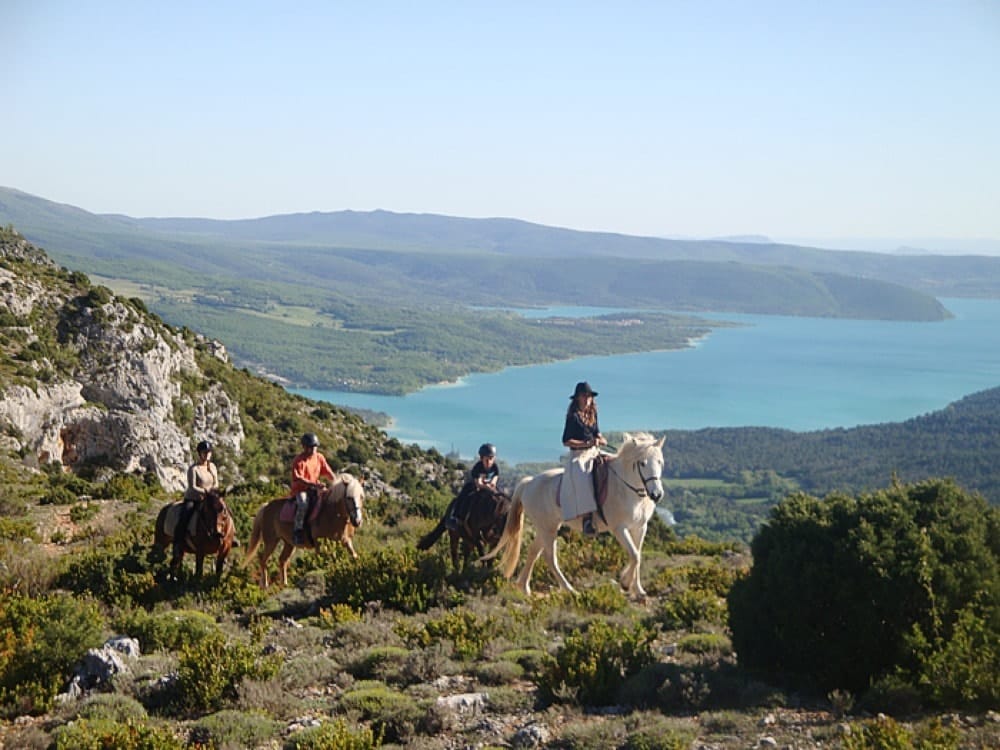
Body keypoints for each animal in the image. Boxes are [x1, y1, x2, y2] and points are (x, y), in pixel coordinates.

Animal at [482, 428, 664, 600]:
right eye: (642, 463)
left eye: (660, 462)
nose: (656, 494)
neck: (625, 488)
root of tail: (529, 483)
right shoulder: (619, 528)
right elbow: (635, 555)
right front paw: (625, 583)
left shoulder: (640, 527)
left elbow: (638, 556)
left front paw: (638, 589)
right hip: (548, 529)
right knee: (550, 557)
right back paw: (569, 589)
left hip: (546, 527)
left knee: (534, 551)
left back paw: (524, 587)